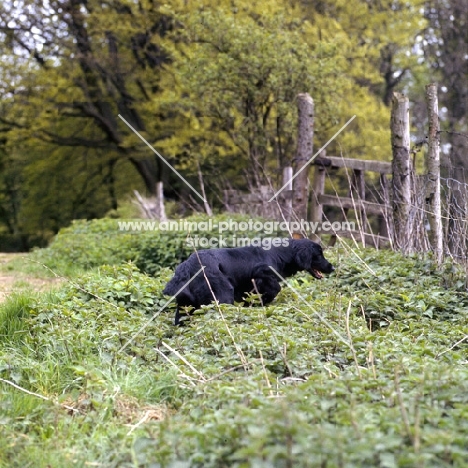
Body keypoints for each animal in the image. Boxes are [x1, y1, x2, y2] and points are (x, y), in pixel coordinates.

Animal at [163, 238, 334, 326]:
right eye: (319, 254)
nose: (332, 267)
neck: (281, 253)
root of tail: (187, 265)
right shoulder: (262, 275)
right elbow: (275, 288)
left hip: (185, 306)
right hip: (223, 294)